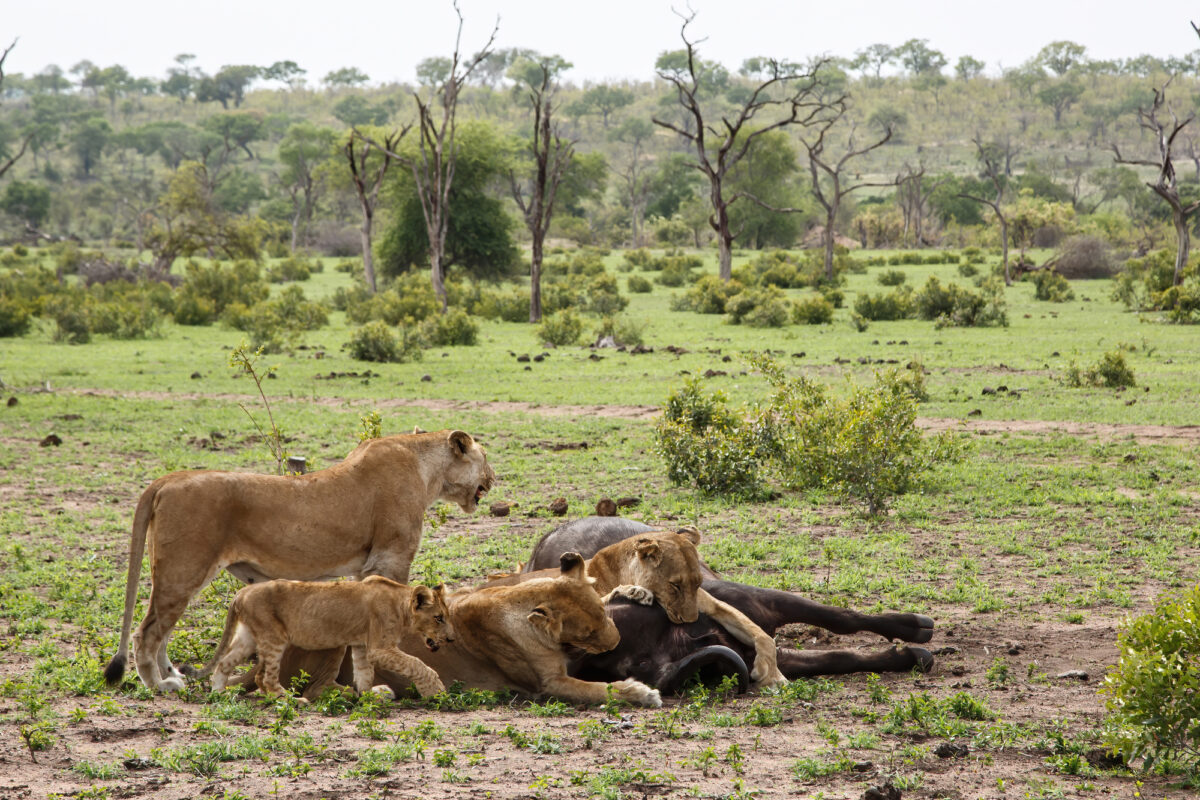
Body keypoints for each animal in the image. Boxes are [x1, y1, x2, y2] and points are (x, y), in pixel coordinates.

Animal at [206, 577, 452, 700]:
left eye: (446, 617)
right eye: (439, 618)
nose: (451, 639)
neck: (400, 604)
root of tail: (241, 593)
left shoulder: (361, 644)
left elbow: (364, 673)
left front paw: (367, 696)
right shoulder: (379, 647)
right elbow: (417, 664)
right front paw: (435, 690)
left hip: (248, 637)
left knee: (224, 663)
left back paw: (219, 695)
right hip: (274, 637)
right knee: (264, 678)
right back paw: (289, 700)